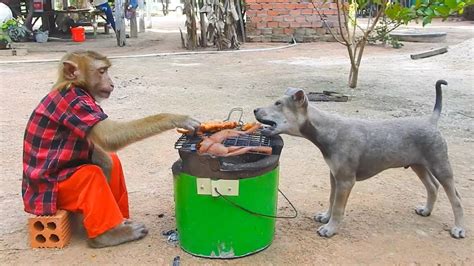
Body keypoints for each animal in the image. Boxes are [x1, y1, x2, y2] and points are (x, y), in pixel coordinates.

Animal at [21, 51, 200, 248]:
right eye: (101, 71)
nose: (112, 83)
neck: (74, 85)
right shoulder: (78, 104)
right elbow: (109, 137)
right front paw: (175, 118)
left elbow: (102, 151)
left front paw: (104, 160)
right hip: (62, 192)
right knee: (90, 176)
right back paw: (105, 237)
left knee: (110, 162)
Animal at [254, 80, 464, 239]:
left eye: (278, 104)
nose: (255, 109)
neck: (329, 130)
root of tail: (432, 121)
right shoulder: (334, 177)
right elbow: (331, 200)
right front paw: (325, 217)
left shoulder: (346, 180)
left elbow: (338, 207)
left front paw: (330, 229)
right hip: (418, 165)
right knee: (432, 187)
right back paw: (426, 210)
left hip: (441, 166)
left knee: (455, 198)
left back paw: (459, 229)